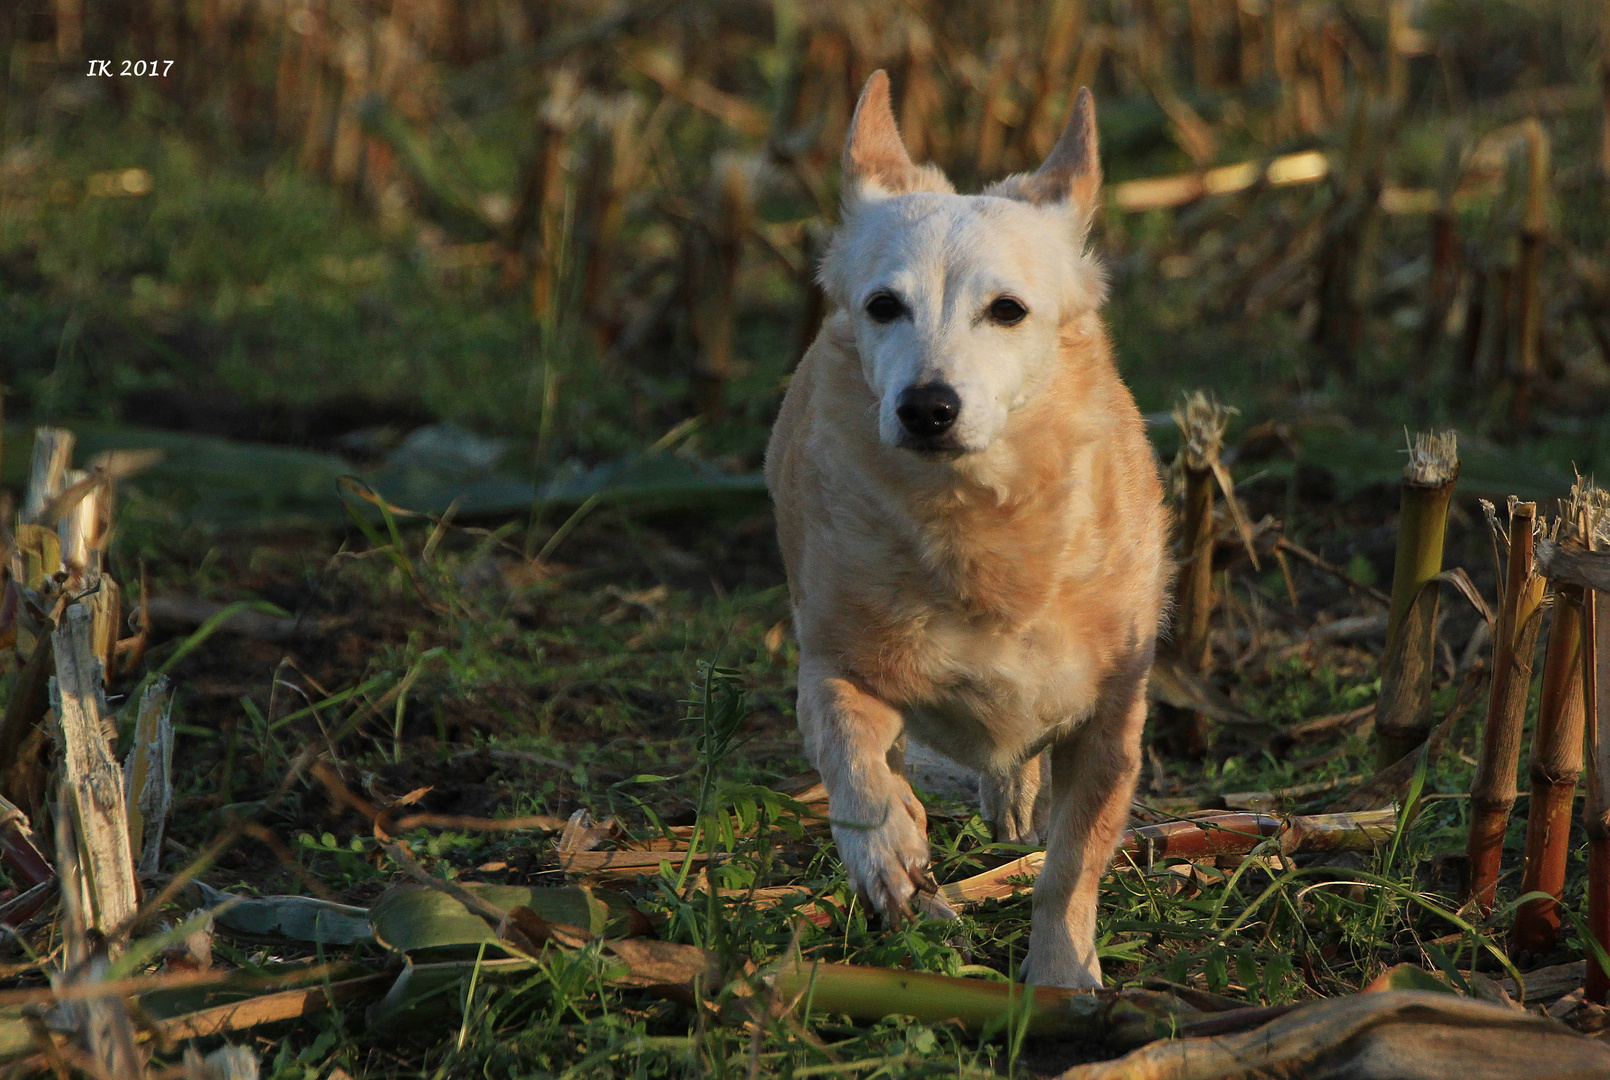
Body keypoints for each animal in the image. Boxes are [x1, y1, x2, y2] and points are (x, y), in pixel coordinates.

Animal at [766, 74, 1172, 991]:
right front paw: (889, 858)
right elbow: (854, 767)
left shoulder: (1110, 721)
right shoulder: (834, 665)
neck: (975, 531)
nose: (927, 405)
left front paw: (1061, 978)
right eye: (884, 307)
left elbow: (1073, 863)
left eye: (1008, 311)